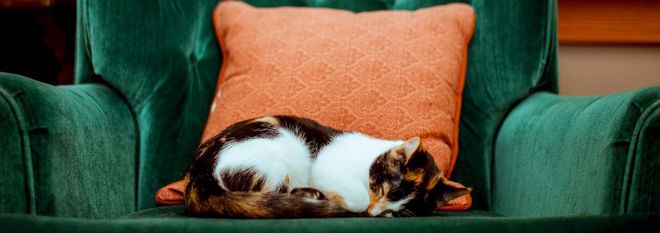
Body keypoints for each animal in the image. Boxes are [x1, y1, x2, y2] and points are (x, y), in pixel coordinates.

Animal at [184, 115, 470, 218]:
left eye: (398, 210)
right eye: (383, 188)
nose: (373, 213)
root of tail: (198, 168)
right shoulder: (325, 164)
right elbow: (356, 196)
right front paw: (353, 204)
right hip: (280, 147)